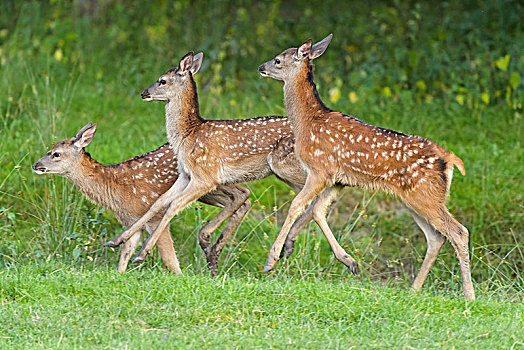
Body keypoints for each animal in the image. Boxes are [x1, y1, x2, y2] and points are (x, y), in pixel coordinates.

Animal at [32, 121, 254, 274]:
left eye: (56, 153)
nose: (36, 165)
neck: (114, 188)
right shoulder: (132, 221)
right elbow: (124, 255)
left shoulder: (152, 217)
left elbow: (170, 260)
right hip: (208, 192)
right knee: (243, 198)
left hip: (211, 179)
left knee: (242, 193)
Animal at [106, 50, 360, 274]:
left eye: (162, 80)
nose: (143, 93)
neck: (188, 135)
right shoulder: (186, 175)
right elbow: (158, 203)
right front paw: (117, 240)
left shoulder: (205, 176)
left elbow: (173, 206)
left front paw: (142, 253)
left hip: (291, 167)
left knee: (320, 195)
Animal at [258, 33, 474, 300]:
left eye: (278, 60)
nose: (261, 67)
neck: (307, 122)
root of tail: (450, 159)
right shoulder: (339, 180)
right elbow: (318, 211)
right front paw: (345, 260)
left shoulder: (320, 169)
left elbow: (296, 205)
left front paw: (272, 258)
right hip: (417, 198)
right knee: (435, 237)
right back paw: (413, 289)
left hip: (425, 194)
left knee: (459, 232)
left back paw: (469, 294)